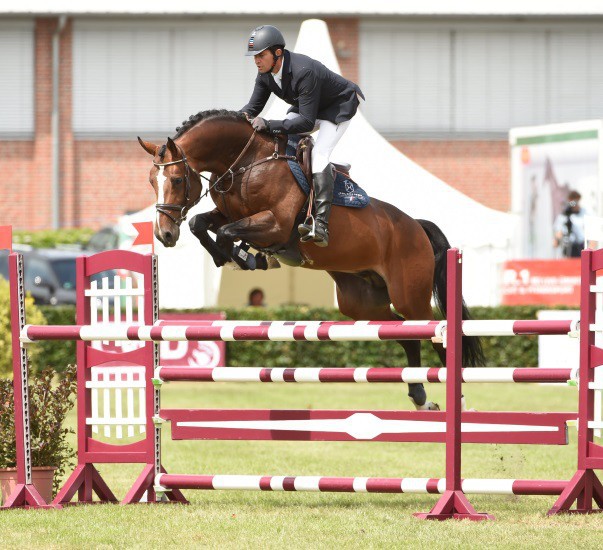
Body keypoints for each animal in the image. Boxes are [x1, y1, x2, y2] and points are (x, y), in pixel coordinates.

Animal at [138, 109, 486, 410]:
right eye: (151, 181)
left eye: (177, 180)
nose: (164, 234)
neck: (246, 162)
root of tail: (416, 226)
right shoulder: (230, 214)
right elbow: (202, 224)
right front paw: (240, 257)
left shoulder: (275, 224)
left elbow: (225, 232)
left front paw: (246, 258)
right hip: (362, 302)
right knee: (408, 338)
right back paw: (420, 398)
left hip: (409, 296)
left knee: (434, 335)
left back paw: (458, 400)